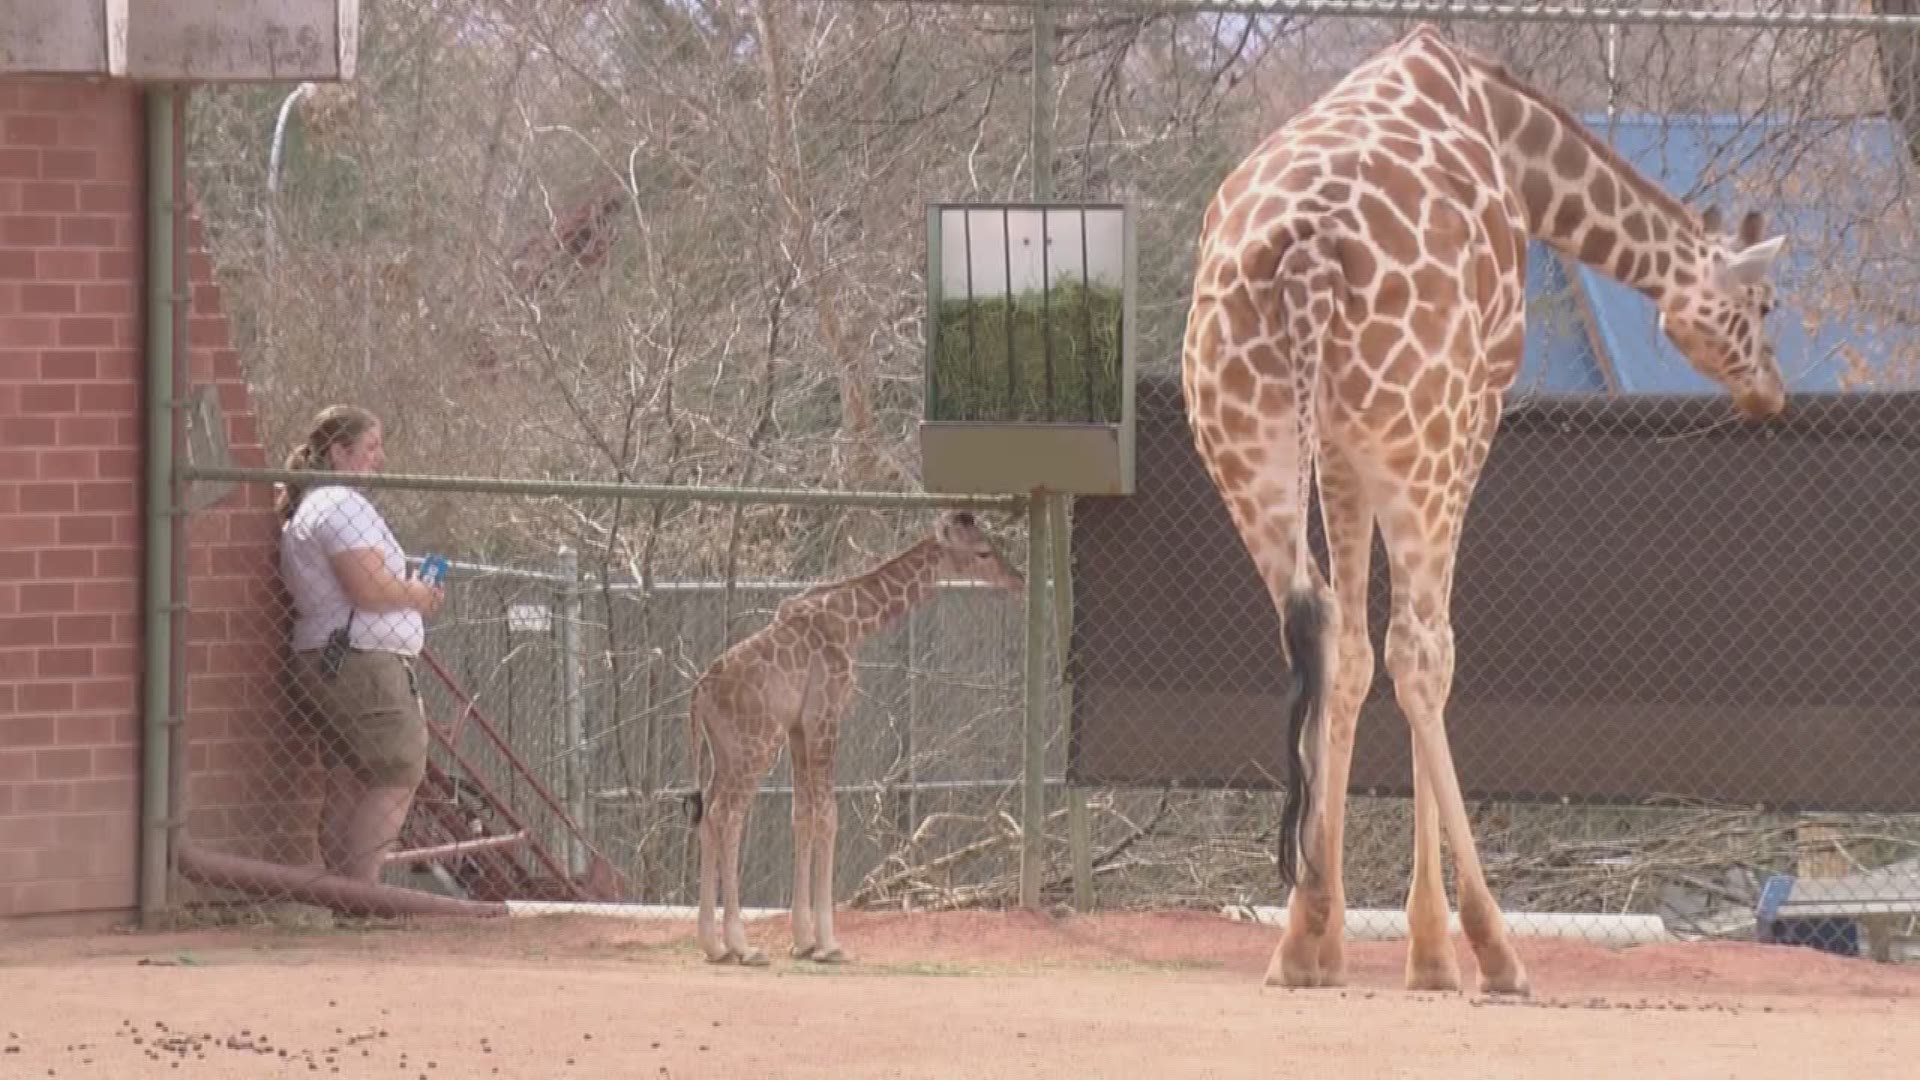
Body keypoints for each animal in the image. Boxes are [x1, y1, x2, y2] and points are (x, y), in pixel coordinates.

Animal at [687, 507, 1021, 960]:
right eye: (984, 551)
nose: (1018, 580)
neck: (852, 623)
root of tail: (700, 692)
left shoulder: (799, 727)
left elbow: (803, 814)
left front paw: (804, 940)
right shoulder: (825, 715)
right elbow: (829, 815)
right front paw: (829, 943)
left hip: (724, 751)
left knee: (708, 815)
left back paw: (714, 946)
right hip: (756, 744)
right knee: (728, 814)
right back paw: (742, 945)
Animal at [1175, 23, 1789, 991]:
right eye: (1762, 303)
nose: (1771, 391)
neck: (1519, 146)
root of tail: (1307, 256)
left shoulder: (1344, 448)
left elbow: (1352, 656)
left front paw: (1327, 940)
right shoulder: (1471, 414)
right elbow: (1422, 652)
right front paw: (1430, 953)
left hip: (1246, 443)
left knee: (1315, 627)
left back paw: (1298, 934)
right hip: (1421, 438)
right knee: (1420, 651)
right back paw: (1490, 949)